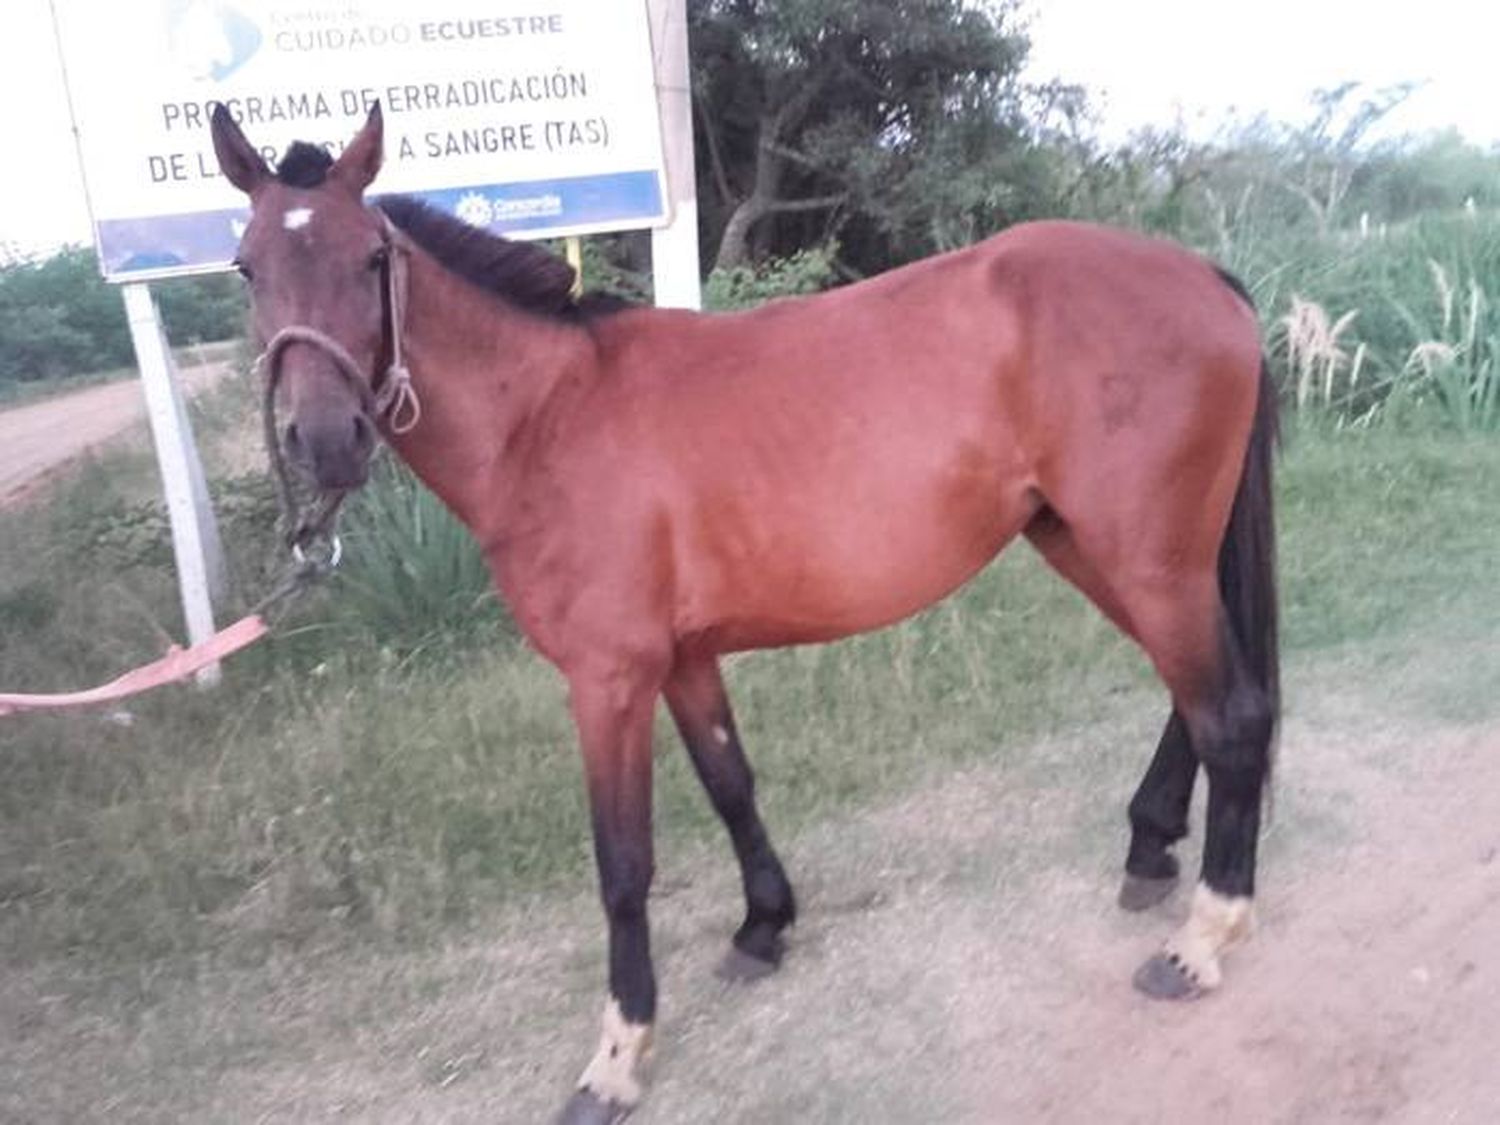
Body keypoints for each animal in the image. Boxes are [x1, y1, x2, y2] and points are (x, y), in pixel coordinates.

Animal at [217, 108, 1284, 1125]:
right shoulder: (683, 659)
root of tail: (1202, 276)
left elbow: (623, 863)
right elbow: (732, 784)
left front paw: (617, 1057)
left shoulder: (608, 678)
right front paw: (763, 926)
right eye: (247, 266)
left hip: (1148, 559)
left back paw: (1202, 937)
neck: (546, 419)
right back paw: (1151, 846)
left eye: (371, 257)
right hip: (1101, 549)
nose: (324, 440)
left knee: (1229, 715)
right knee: (1196, 700)